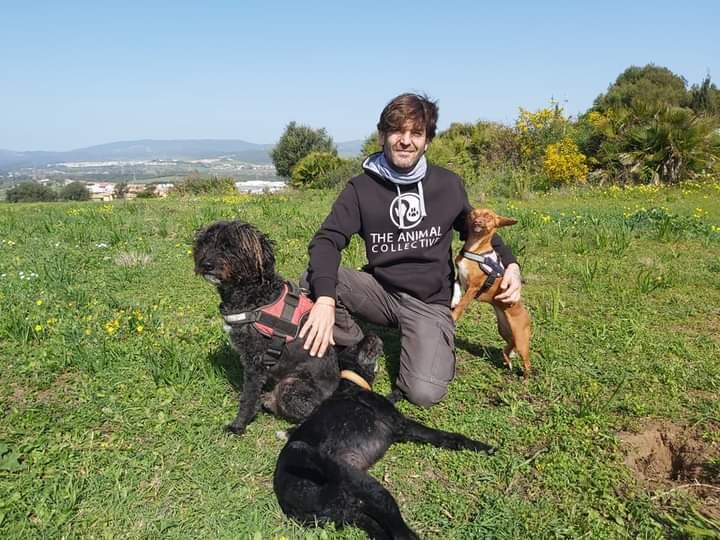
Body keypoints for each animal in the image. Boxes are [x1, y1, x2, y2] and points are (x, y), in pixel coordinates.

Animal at [194, 219, 346, 434]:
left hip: (291, 386)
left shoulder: (255, 362)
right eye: (204, 243)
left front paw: (238, 425)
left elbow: (248, 397)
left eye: (228, 246)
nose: (206, 264)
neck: (254, 294)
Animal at [272, 334, 498, 540]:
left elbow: (392, 396)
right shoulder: (400, 424)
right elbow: (445, 436)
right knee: (402, 534)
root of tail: (292, 503)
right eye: (355, 346)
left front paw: (398, 392)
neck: (352, 384)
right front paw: (482, 447)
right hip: (369, 489)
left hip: (355, 511)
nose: (371, 334)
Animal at [452, 207, 532, 376]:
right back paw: (508, 363)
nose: (478, 222)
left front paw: (453, 315)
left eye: (489, 217)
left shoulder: (473, 288)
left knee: (527, 364)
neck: (474, 249)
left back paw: (525, 379)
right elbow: (455, 286)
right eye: (474, 213)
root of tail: (528, 316)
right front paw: (454, 299)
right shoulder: (459, 277)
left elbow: (462, 305)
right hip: (505, 332)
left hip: (521, 340)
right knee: (507, 349)